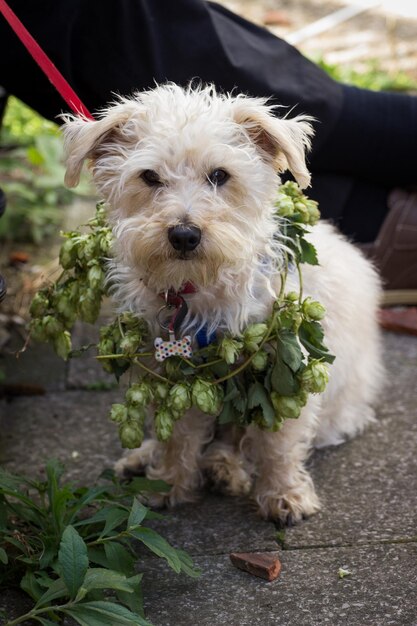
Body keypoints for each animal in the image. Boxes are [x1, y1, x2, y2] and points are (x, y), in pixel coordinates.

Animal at [61, 81, 380, 520]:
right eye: (149, 176)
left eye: (219, 175)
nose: (184, 235)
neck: (197, 287)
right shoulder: (175, 374)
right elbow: (177, 437)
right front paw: (167, 483)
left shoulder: (281, 372)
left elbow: (277, 440)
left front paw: (283, 494)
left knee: (239, 439)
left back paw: (224, 468)